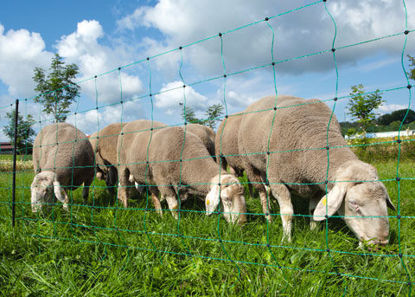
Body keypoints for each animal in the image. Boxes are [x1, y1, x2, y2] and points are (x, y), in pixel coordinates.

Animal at [117, 119, 247, 223]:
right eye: (226, 199)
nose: (242, 223)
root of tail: (130, 123)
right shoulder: (163, 180)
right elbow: (174, 205)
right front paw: (177, 222)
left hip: (149, 173)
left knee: (153, 194)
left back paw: (159, 214)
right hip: (122, 164)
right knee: (123, 187)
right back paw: (125, 207)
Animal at [237, 93, 396, 244]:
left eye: (384, 201)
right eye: (353, 203)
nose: (382, 242)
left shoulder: (318, 186)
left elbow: (313, 210)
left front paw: (313, 233)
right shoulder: (278, 180)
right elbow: (287, 213)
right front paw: (286, 240)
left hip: (264, 166)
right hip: (251, 164)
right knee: (262, 192)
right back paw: (268, 216)